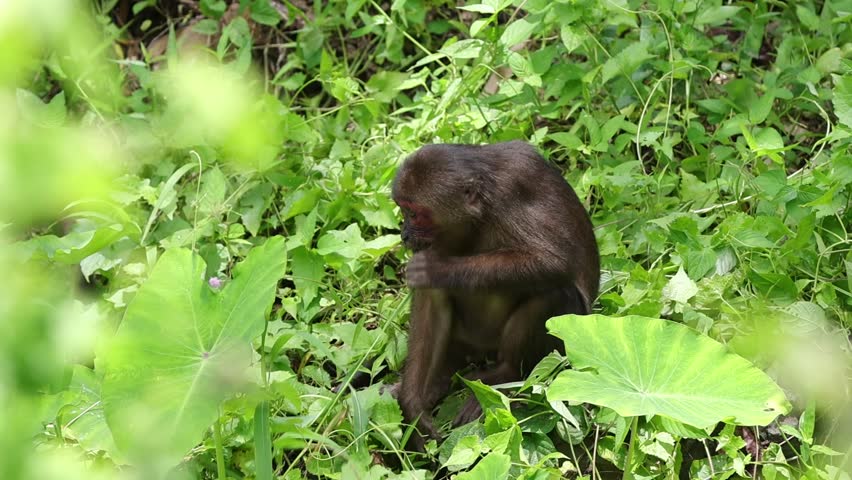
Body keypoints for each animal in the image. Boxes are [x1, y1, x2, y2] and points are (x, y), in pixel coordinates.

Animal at [391, 140, 600, 451]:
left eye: (415, 213)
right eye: (403, 210)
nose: (405, 234)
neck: (478, 215)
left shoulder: (513, 187)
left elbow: (555, 262)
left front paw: (438, 269)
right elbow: (431, 301)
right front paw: (413, 408)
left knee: (555, 291)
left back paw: (504, 375)